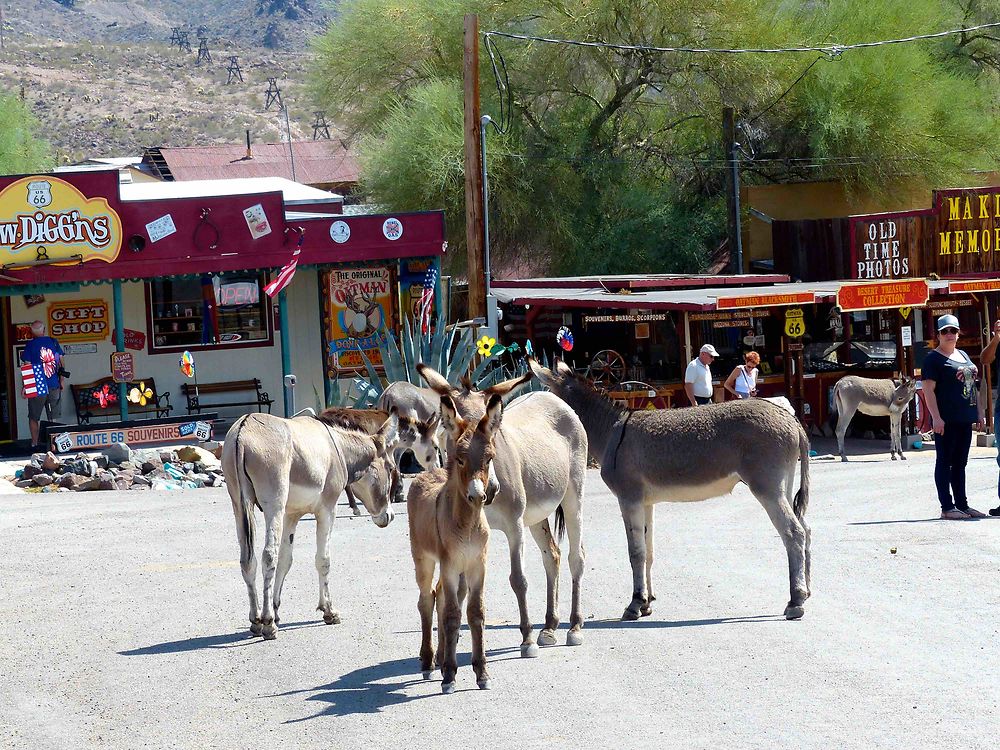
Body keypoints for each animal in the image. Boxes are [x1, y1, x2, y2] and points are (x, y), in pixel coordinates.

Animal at [404, 396, 500, 696]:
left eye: (489, 458)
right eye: (459, 459)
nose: (478, 496)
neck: (467, 524)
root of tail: (427, 473)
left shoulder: (477, 565)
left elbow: (475, 613)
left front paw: (482, 673)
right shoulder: (449, 564)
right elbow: (451, 615)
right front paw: (449, 676)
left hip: (457, 571)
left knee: (440, 595)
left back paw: (441, 655)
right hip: (423, 559)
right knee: (426, 599)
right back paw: (428, 661)